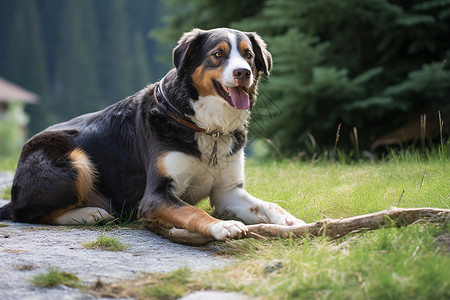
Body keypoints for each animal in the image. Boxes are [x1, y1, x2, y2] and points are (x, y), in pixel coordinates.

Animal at [0, 27, 306, 239]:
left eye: (248, 55)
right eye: (217, 55)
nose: (243, 72)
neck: (208, 127)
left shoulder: (228, 192)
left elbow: (270, 205)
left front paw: (291, 221)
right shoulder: (155, 195)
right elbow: (192, 211)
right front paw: (222, 226)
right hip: (75, 160)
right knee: (25, 213)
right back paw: (88, 214)